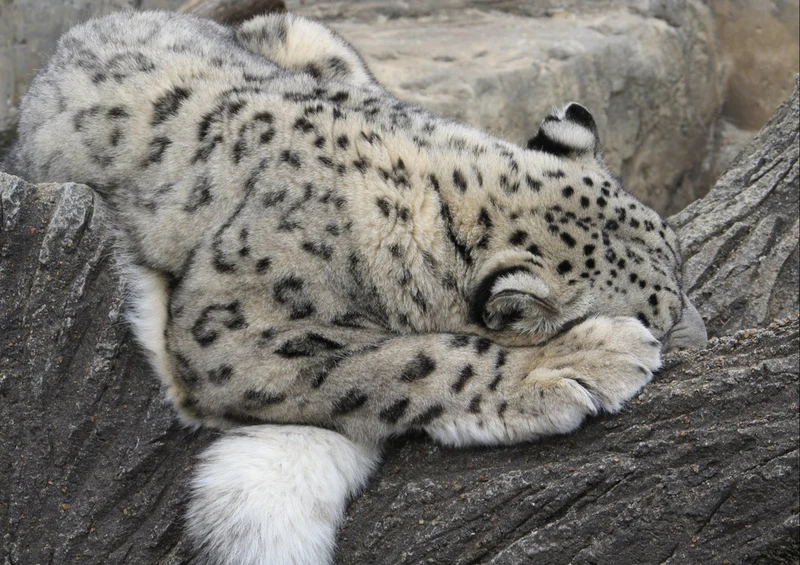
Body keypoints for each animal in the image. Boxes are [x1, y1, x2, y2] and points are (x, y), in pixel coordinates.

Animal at [5, 10, 708, 565]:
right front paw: (584, 360)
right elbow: (412, 361)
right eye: (656, 314)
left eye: (679, 264)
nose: (700, 336)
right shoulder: (230, 336)